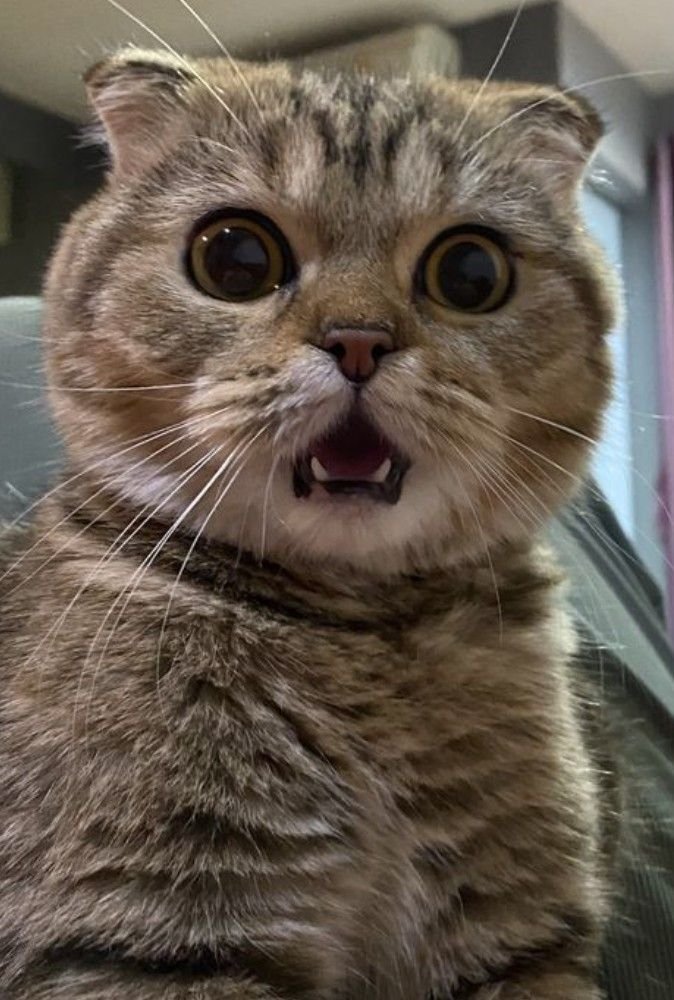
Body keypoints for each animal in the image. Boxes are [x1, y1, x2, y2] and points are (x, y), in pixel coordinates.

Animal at [0, 45, 618, 1000]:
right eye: (235, 257)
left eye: (471, 274)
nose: (358, 339)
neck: (357, 637)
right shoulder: (135, 934)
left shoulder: (521, 932)